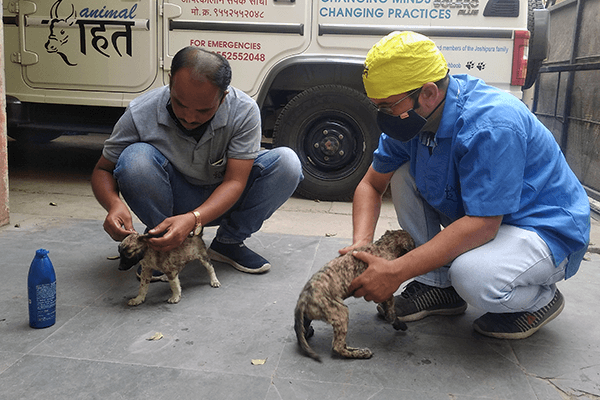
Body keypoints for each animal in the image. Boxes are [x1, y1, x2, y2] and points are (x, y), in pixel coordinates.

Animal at [292, 228, 414, 362]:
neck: (384, 245)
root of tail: (302, 301)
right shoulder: (384, 281)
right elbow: (391, 303)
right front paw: (395, 320)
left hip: (310, 316)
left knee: (301, 329)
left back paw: (306, 333)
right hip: (341, 313)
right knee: (337, 347)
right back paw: (361, 352)